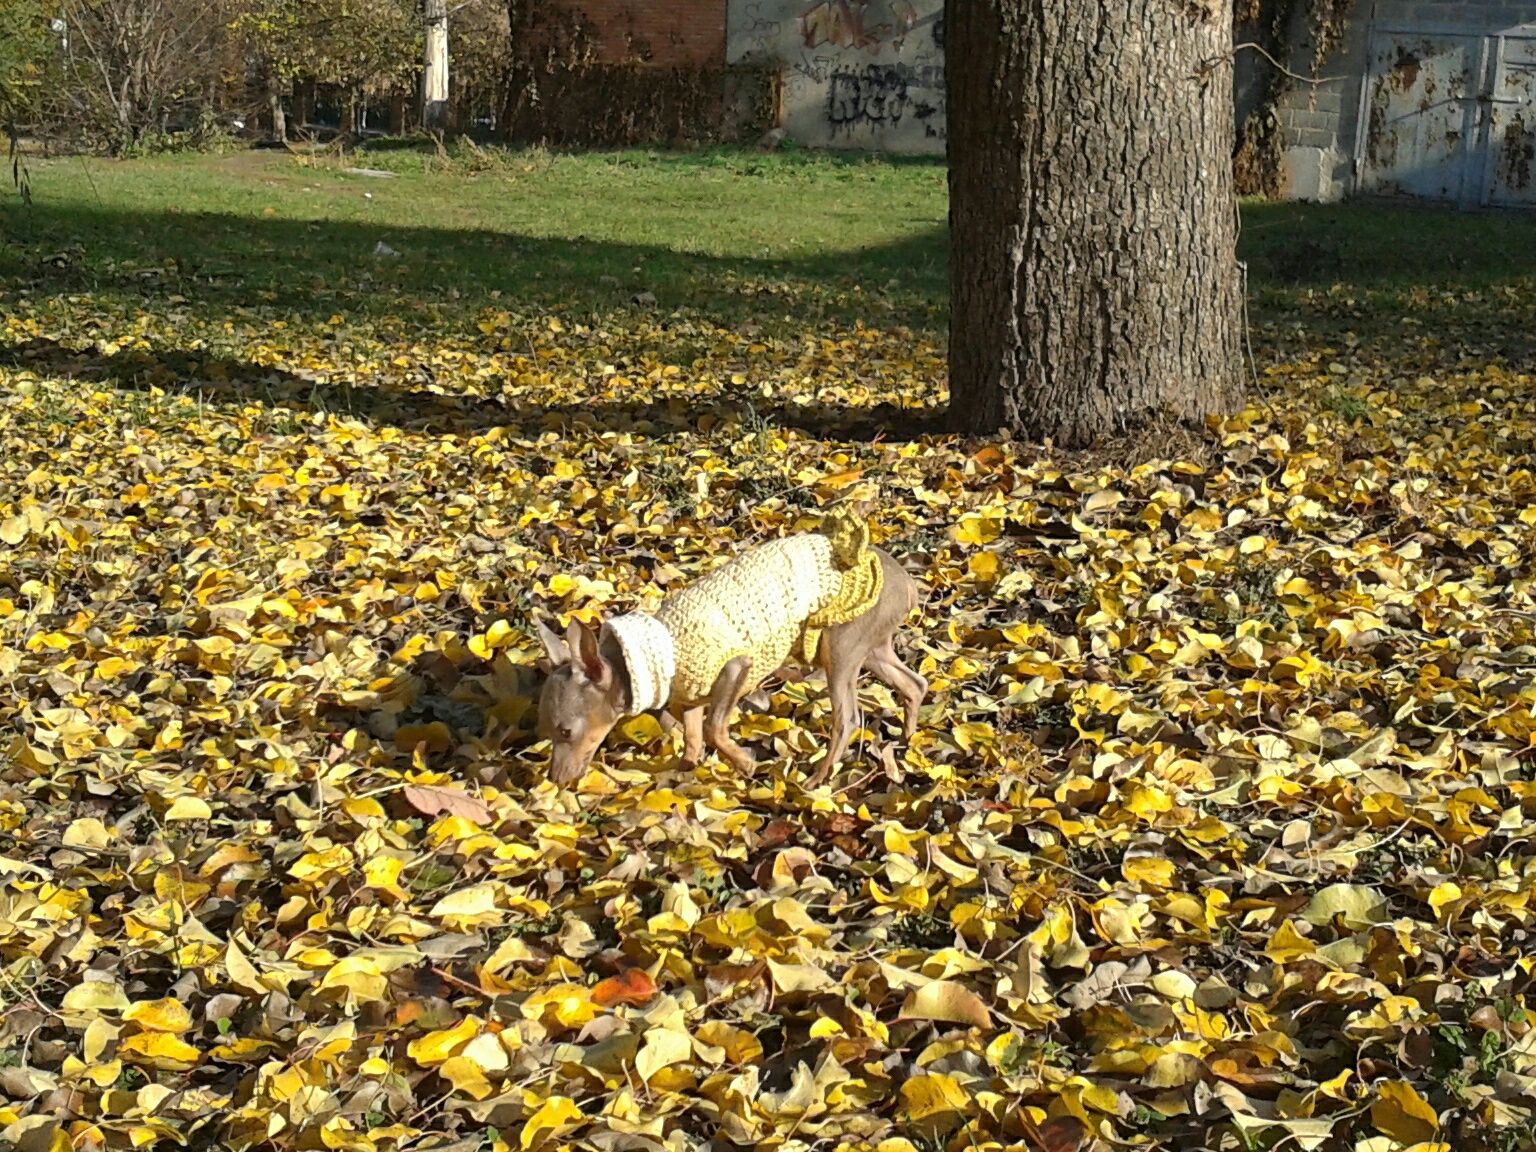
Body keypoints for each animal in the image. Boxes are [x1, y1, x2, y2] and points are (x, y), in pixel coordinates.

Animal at [534, 516, 927, 792]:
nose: (553, 778)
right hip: (870, 648)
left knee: (847, 719)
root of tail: (907, 582)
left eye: (566, 731)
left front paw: (745, 764)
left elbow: (713, 728)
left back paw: (819, 779)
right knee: (915, 684)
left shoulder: (736, 667)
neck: (650, 654)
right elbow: (693, 740)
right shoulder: (689, 696)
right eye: (547, 731)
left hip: (841, 649)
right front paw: (682, 773)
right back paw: (907, 739)